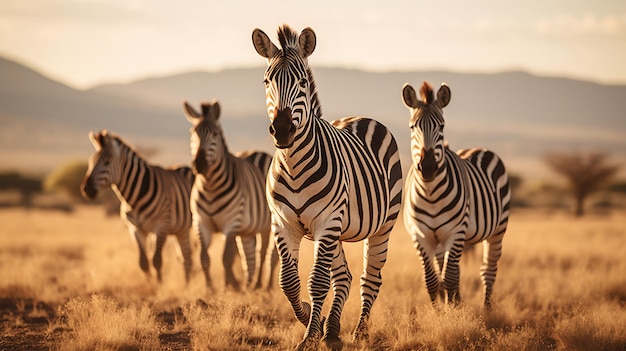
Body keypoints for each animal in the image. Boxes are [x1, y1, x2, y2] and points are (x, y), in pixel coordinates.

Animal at [80, 131, 194, 284]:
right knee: (185, 257)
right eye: (90, 162)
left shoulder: (161, 227)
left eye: (107, 163)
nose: (86, 189)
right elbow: (143, 262)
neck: (135, 199)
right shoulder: (135, 228)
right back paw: (187, 284)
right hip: (181, 229)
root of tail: (186, 167)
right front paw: (150, 284)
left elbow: (156, 260)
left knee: (188, 258)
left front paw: (159, 285)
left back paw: (188, 285)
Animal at [182, 99, 276, 292]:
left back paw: (260, 285)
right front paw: (210, 288)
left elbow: (226, 258)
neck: (210, 186)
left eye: (215, 134)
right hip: (247, 229)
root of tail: (258, 151)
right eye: (192, 133)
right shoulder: (201, 223)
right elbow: (204, 257)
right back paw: (248, 284)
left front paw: (226, 287)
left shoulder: (231, 223)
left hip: (266, 224)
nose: (199, 164)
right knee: (249, 255)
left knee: (263, 253)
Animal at [251, 23, 402, 350]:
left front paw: (309, 336)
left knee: (370, 278)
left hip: (381, 226)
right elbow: (288, 281)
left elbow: (317, 282)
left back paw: (360, 332)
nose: (282, 130)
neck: (294, 165)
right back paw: (332, 331)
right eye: (267, 81)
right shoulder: (283, 223)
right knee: (344, 277)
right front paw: (312, 318)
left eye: (303, 82)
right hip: (338, 232)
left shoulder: (326, 221)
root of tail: (362, 117)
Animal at [400, 81, 508, 310]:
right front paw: (438, 312)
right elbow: (432, 280)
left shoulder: (456, 232)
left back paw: (487, 310)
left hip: (497, 231)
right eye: (412, 127)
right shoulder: (420, 235)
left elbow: (448, 278)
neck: (430, 194)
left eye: (441, 126)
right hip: (444, 240)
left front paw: (451, 313)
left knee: (488, 270)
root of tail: (479, 148)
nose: (428, 167)